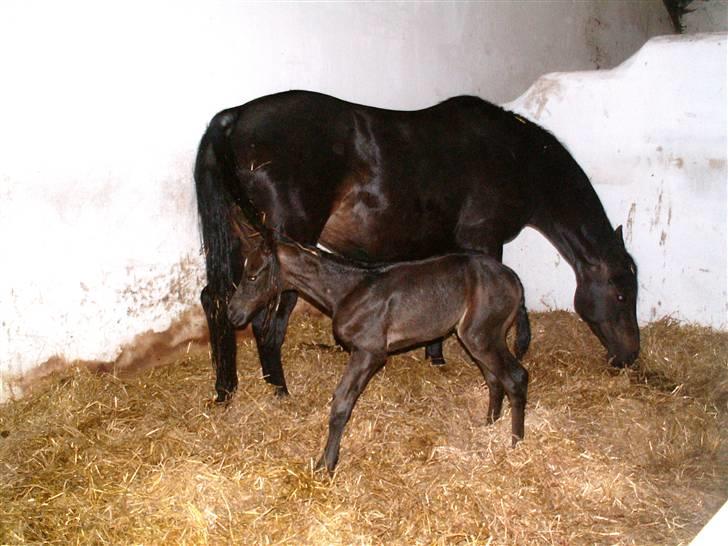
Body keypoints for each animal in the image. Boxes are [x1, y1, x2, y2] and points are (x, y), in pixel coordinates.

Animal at [196, 90, 640, 400]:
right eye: (621, 295)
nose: (630, 355)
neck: (516, 159)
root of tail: (235, 118)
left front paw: (435, 355)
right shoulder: (484, 240)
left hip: (241, 244)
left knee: (217, 299)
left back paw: (226, 390)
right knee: (265, 324)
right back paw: (279, 391)